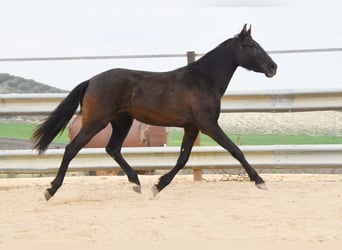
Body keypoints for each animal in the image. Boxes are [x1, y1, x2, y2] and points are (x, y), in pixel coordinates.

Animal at [32, 24, 278, 201]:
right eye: (252, 45)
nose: (273, 67)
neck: (202, 81)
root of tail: (91, 81)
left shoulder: (192, 127)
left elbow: (183, 159)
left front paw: (157, 186)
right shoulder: (208, 125)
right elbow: (235, 150)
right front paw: (260, 181)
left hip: (122, 122)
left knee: (113, 148)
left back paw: (136, 184)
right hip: (96, 122)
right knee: (72, 149)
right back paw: (50, 190)